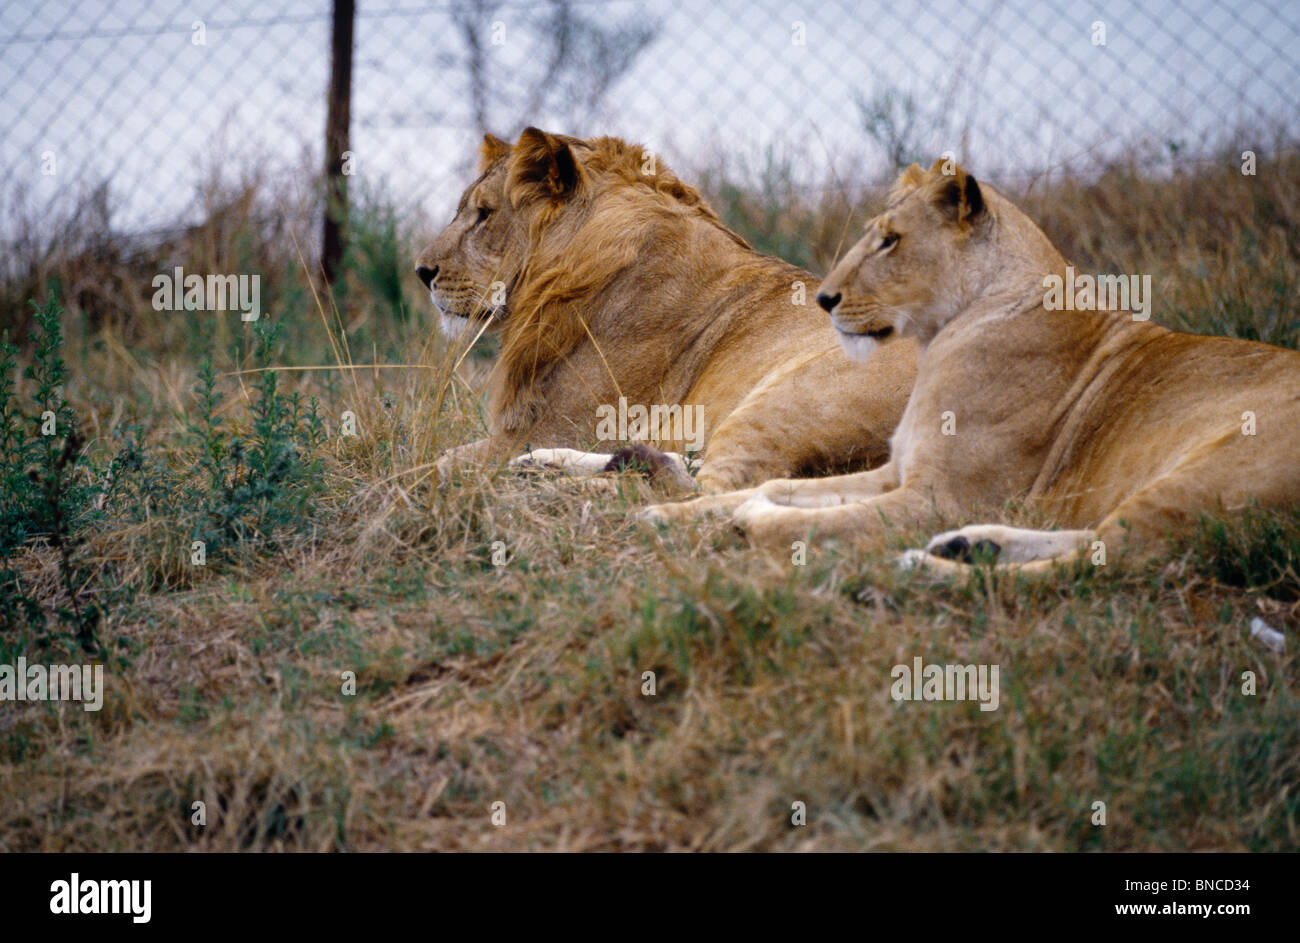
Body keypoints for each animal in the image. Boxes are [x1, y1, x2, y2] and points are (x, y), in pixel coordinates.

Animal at [413, 127, 918, 492]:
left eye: (483, 214)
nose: (421, 270)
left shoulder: (568, 425)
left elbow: (442, 461)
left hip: (791, 395)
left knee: (714, 487)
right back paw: (552, 468)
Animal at [644, 159, 1300, 573]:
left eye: (891, 240)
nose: (824, 299)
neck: (940, 339)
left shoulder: (942, 496)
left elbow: (807, 521)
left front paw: (745, 519)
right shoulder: (897, 471)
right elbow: (776, 486)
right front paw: (667, 512)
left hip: (1204, 475)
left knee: (1098, 566)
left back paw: (932, 566)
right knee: (1094, 543)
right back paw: (967, 548)